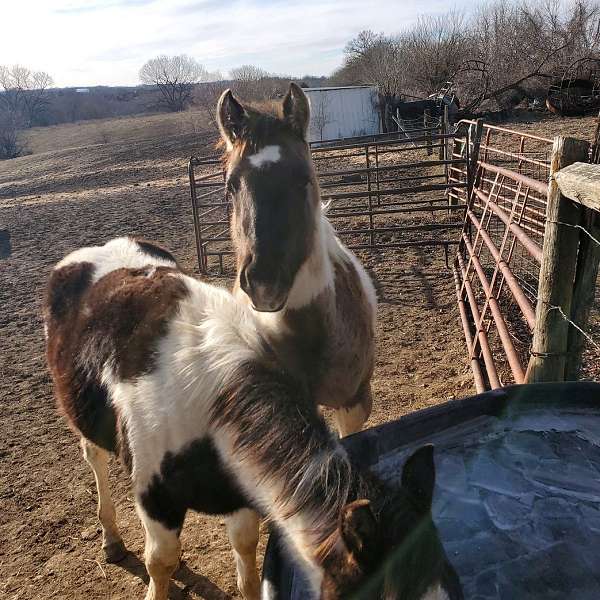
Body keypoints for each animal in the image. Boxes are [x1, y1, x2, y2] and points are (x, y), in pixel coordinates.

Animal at [44, 238, 462, 600]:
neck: (213, 402)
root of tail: (94, 250)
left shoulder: (239, 490)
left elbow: (244, 549)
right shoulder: (153, 495)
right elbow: (160, 561)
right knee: (94, 457)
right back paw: (112, 539)